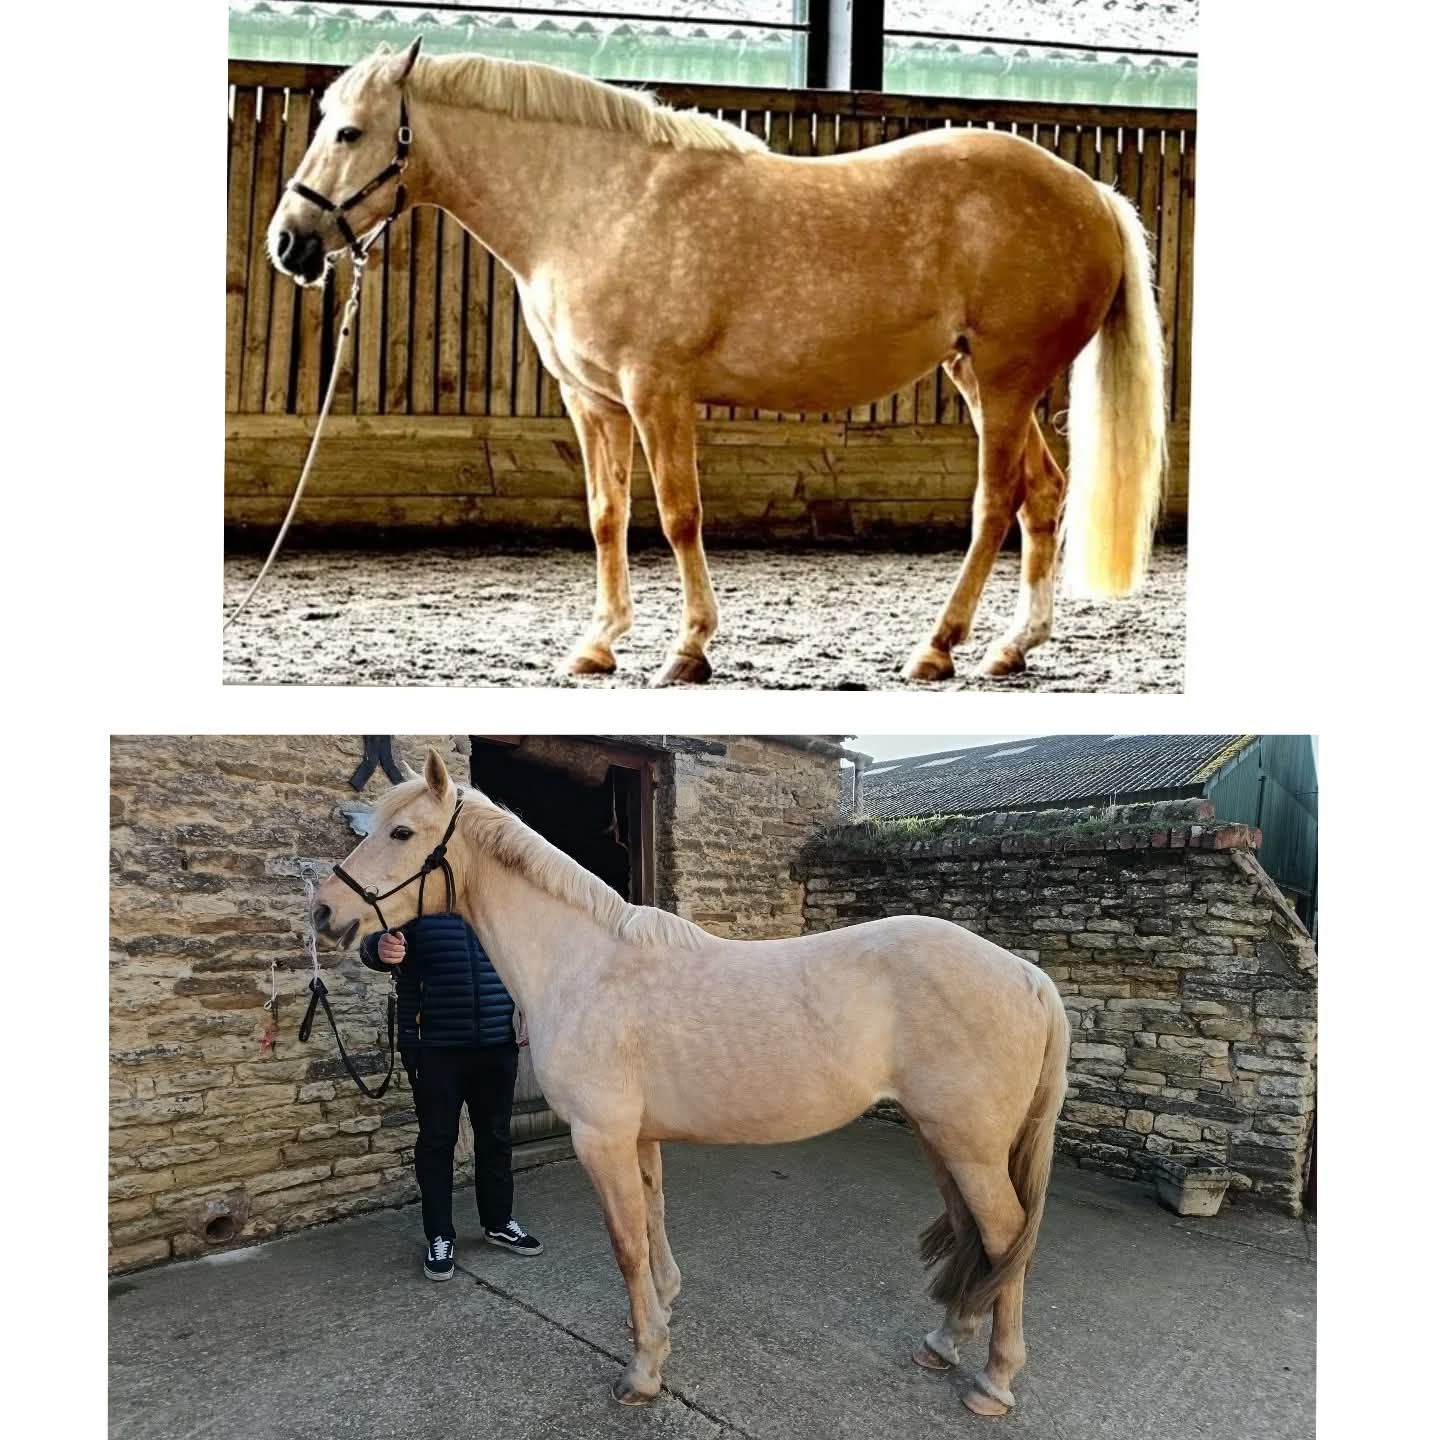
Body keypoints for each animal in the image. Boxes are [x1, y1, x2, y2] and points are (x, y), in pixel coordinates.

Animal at [266, 40, 1167, 687]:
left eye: (349, 132)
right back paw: (1013, 648)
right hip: (978, 377)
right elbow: (606, 516)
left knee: (996, 503)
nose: (288, 243)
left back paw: (937, 648)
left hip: (1009, 379)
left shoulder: (655, 391)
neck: (592, 203)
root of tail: (1092, 194)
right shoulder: (592, 401)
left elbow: (677, 515)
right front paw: (599, 645)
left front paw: (688, 649)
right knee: (1042, 495)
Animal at [309, 750, 1070, 1417]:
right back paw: (944, 1343)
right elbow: (653, 1220)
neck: (584, 965)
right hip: (943, 1139)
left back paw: (994, 1383)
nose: (324, 913)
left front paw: (644, 1369)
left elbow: (626, 1244)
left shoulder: (600, 1139)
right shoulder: (637, 1138)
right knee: (977, 1234)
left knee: (1007, 1235)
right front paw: (663, 1311)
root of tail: (1025, 974)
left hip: (968, 1144)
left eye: (402, 832)